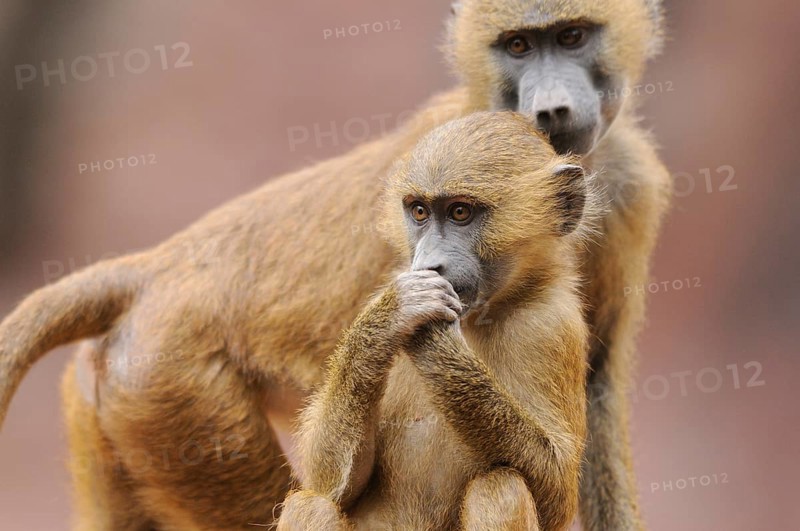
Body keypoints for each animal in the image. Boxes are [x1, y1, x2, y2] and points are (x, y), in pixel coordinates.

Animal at [277, 111, 592, 531]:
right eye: (419, 212)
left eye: (460, 212)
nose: (429, 264)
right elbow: (330, 480)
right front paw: (394, 313)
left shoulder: (553, 326)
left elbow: (557, 489)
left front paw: (437, 345)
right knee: (312, 503)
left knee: (500, 487)